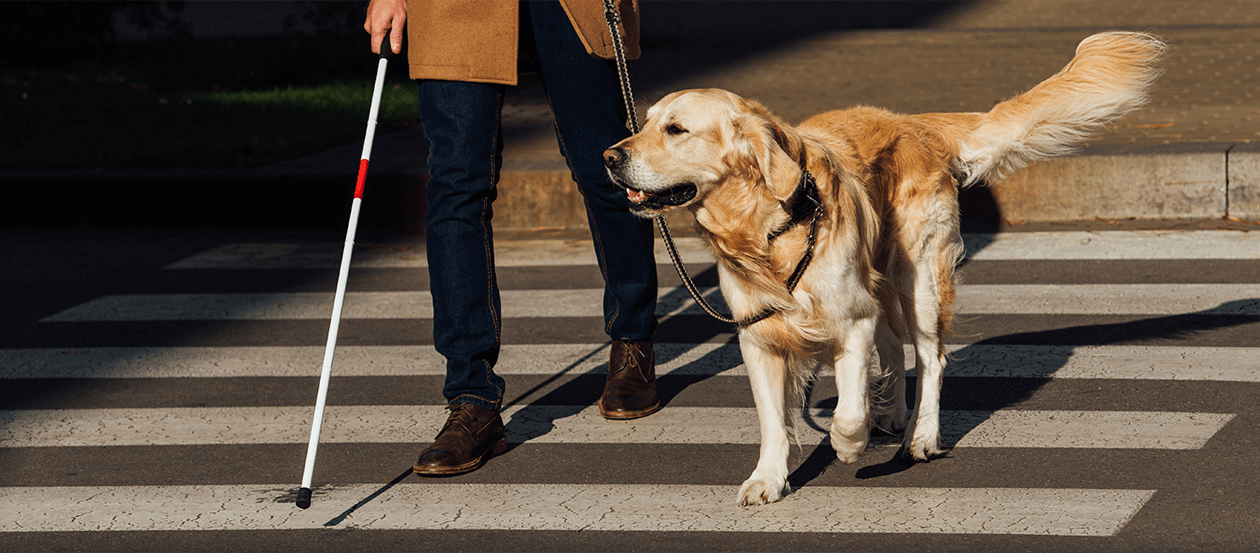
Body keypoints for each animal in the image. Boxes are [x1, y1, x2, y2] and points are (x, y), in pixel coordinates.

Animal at [604, 31, 1164, 506]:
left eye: (676, 129)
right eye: (644, 123)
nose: (609, 156)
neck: (768, 228)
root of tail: (914, 123)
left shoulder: (850, 320)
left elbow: (849, 410)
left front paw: (849, 445)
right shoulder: (759, 337)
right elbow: (772, 420)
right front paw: (767, 478)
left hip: (918, 279)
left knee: (931, 359)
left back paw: (920, 436)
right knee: (895, 348)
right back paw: (893, 413)